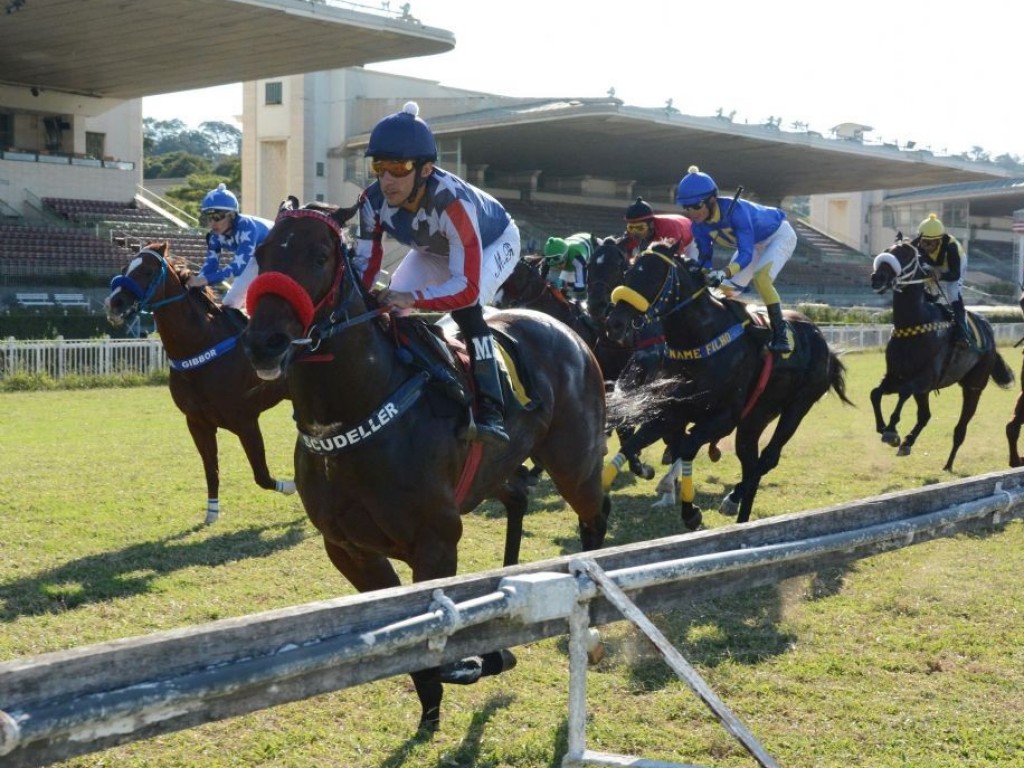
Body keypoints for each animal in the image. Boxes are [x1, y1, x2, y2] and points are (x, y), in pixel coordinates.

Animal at [104, 243, 294, 528]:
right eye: (125, 268)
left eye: (147, 271)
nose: (114, 303)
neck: (201, 345)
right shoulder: (197, 423)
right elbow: (211, 469)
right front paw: (212, 511)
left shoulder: (246, 420)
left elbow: (262, 475)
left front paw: (293, 485)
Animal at [239, 198, 606, 733]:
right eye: (262, 252)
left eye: (319, 255)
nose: (263, 342)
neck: (355, 415)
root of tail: (569, 331)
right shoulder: (347, 548)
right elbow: (404, 638)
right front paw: (435, 702)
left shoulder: (435, 543)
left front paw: (461, 669)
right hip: (497, 469)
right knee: (518, 498)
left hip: (574, 461)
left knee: (595, 516)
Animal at [602, 244, 851, 528]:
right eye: (629, 272)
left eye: (654, 276)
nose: (614, 323)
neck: (700, 340)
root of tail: (824, 343)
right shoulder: (673, 412)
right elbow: (633, 445)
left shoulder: (724, 417)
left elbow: (687, 447)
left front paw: (690, 512)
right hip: (755, 418)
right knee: (751, 463)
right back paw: (741, 517)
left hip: (796, 407)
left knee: (767, 458)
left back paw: (732, 500)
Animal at [872, 237, 1015, 473]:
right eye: (886, 250)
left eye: (906, 255)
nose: (877, 278)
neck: (914, 323)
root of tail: (989, 332)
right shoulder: (895, 376)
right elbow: (875, 393)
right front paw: (884, 427)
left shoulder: (924, 379)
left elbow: (904, 393)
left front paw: (891, 429)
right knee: (925, 415)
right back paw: (908, 442)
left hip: (974, 387)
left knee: (960, 428)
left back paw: (948, 464)